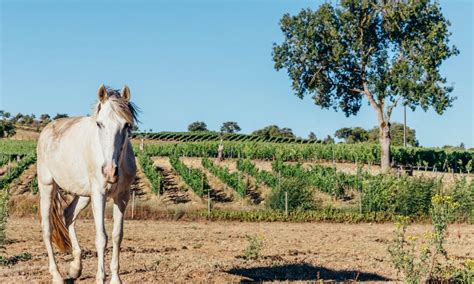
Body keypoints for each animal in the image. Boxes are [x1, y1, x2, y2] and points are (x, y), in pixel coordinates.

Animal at [37, 84, 138, 284]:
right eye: (99, 124)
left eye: (126, 125)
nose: (109, 171)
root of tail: (47, 129)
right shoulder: (99, 194)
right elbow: (101, 238)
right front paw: (100, 278)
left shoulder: (122, 197)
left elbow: (117, 236)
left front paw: (116, 279)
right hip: (47, 186)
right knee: (47, 228)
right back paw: (57, 275)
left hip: (84, 195)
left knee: (68, 214)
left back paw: (76, 268)